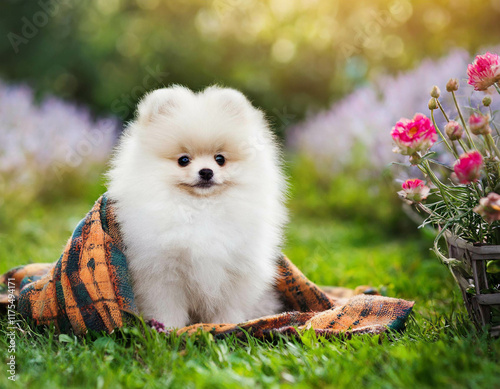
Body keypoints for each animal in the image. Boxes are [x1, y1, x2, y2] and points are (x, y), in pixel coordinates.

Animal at [107, 85, 288, 328]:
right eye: (183, 160)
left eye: (220, 159)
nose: (206, 171)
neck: (201, 208)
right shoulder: (161, 272)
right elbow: (166, 308)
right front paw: (168, 329)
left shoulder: (236, 272)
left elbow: (229, 307)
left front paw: (227, 325)